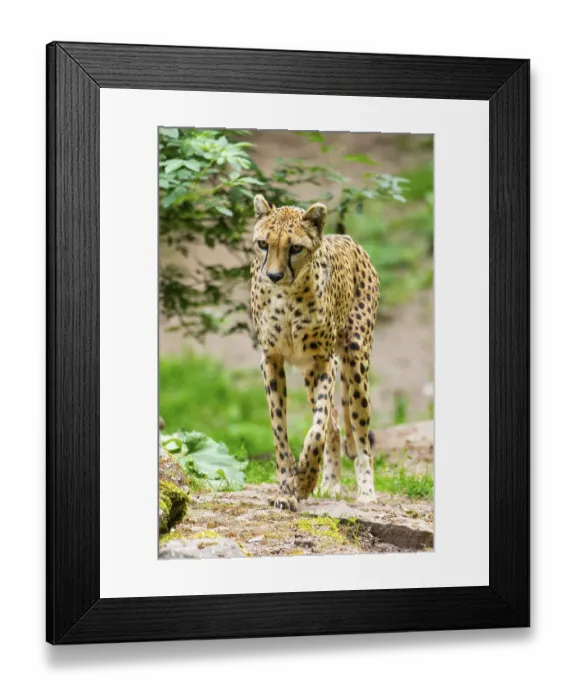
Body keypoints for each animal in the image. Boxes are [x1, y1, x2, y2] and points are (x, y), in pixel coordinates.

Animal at [250, 194, 380, 512]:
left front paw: (305, 478)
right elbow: (281, 432)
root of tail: (347, 238)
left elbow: (316, 430)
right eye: (263, 244)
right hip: (310, 374)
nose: (274, 275)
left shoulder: (324, 360)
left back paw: (366, 491)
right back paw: (330, 483)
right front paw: (287, 490)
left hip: (354, 363)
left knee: (358, 433)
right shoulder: (271, 359)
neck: (287, 297)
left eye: (295, 248)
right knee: (335, 426)